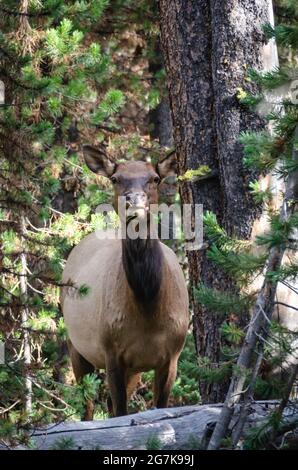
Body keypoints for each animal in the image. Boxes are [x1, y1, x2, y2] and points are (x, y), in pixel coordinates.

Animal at [60, 147, 189, 418]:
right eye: (115, 178)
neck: (148, 310)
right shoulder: (111, 351)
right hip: (76, 346)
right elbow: (120, 410)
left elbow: (158, 407)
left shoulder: (172, 354)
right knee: (88, 406)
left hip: (134, 368)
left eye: (155, 178)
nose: (135, 200)